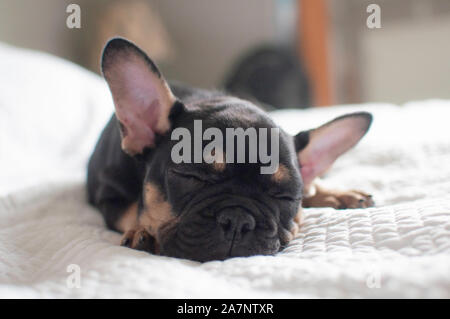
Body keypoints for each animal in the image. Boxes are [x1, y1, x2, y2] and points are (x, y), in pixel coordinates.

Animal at [87, 38, 372, 262]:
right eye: (190, 175)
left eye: (287, 196)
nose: (238, 219)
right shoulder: (109, 196)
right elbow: (131, 209)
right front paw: (141, 231)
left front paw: (333, 192)